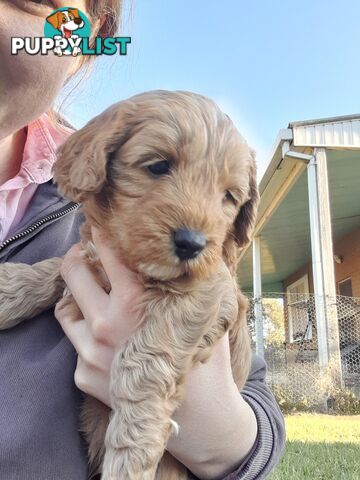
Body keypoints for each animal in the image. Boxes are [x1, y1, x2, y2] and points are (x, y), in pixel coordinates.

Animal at [0, 91, 258, 480]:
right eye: (159, 166)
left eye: (228, 196)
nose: (193, 244)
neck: (134, 264)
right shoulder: (92, 256)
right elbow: (56, 266)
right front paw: (7, 289)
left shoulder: (206, 292)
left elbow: (143, 362)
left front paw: (131, 451)